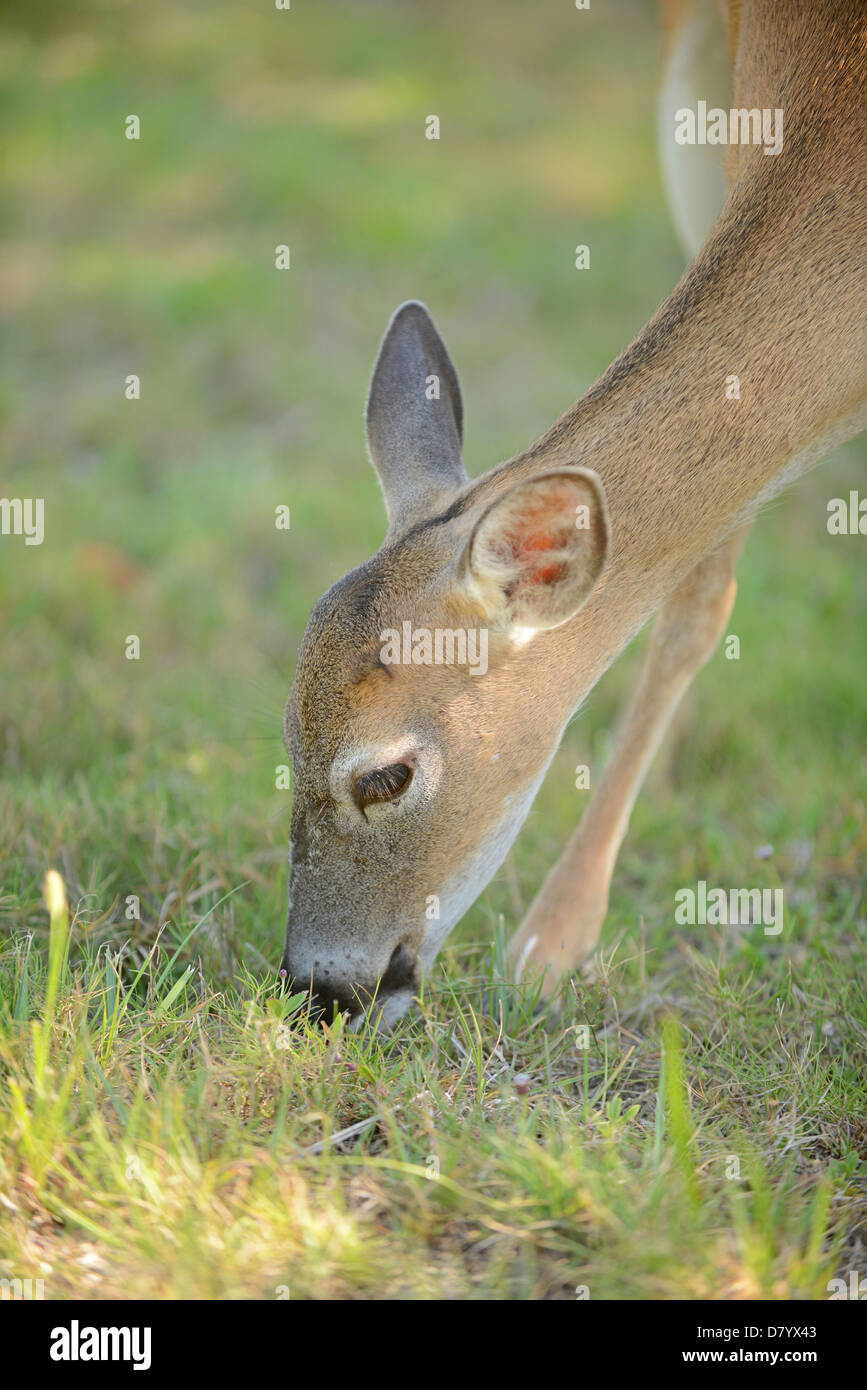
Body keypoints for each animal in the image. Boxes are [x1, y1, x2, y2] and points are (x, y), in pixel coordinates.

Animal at [279, 0, 866, 1028]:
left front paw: (547, 944)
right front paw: (562, 937)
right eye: (283, 736)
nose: (319, 990)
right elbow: (696, 593)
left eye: (385, 776)